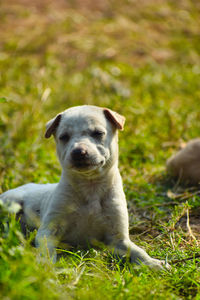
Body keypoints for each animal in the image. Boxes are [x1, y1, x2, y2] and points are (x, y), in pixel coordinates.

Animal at [0, 105, 168, 270]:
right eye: (64, 137)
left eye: (98, 133)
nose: (78, 152)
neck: (90, 186)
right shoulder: (48, 230)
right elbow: (47, 249)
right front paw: (45, 265)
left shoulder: (118, 239)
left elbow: (137, 251)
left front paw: (153, 263)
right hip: (11, 203)